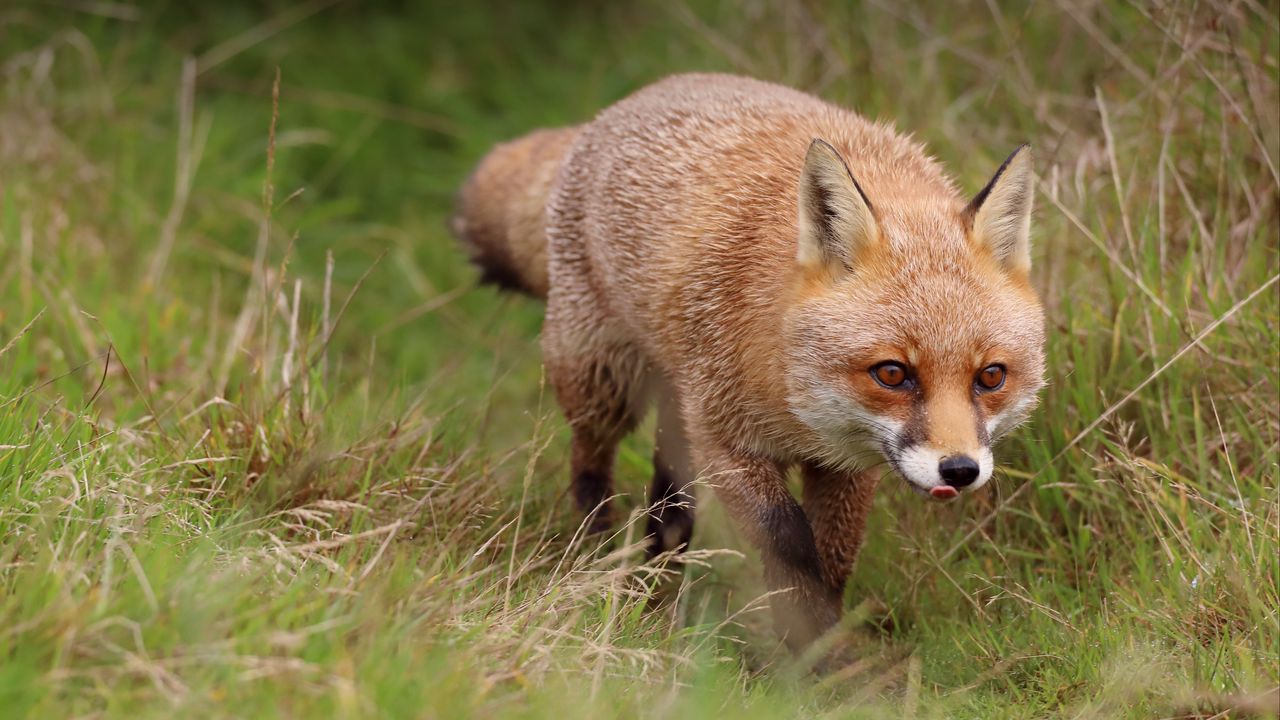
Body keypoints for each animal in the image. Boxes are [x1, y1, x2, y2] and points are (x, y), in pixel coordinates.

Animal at [455, 74, 1044, 650]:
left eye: (991, 376)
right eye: (893, 373)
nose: (960, 470)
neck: (792, 394)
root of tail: (639, 96)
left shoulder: (848, 464)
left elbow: (834, 557)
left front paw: (823, 652)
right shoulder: (724, 439)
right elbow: (791, 546)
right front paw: (809, 653)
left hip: (675, 410)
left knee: (668, 509)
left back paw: (656, 595)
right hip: (602, 382)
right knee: (588, 466)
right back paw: (601, 557)